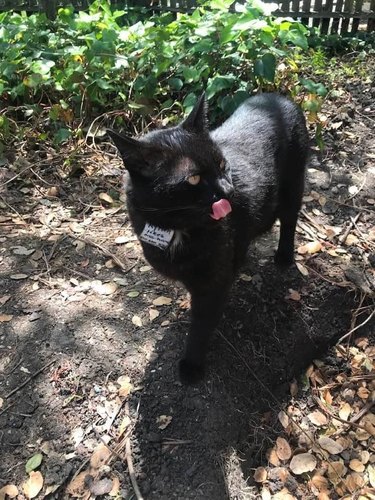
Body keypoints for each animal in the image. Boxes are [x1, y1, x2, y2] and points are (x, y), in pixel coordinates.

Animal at [108, 93, 308, 382]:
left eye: (223, 165)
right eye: (193, 179)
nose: (228, 190)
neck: (175, 229)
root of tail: (279, 97)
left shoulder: (213, 284)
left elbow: (201, 325)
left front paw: (192, 365)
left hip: (294, 185)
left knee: (290, 219)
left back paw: (283, 256)